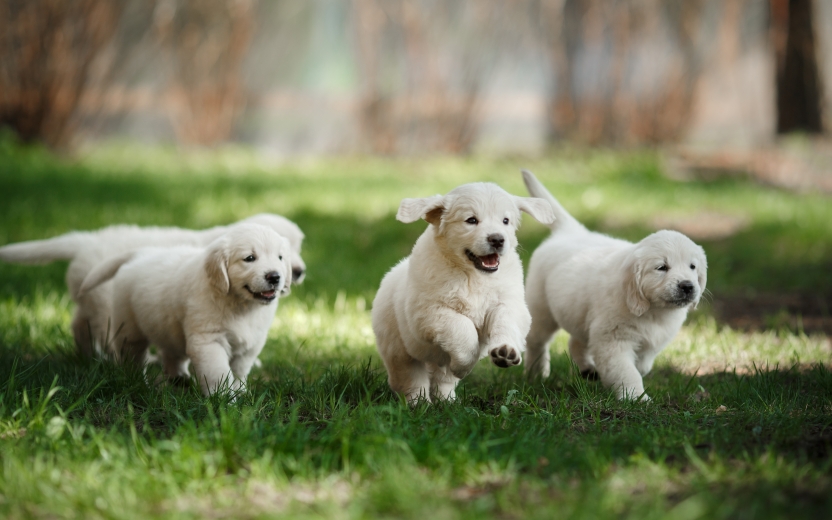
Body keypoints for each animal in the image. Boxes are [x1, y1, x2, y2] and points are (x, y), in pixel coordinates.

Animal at [78, 222, 292, 394]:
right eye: (249, 258)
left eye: (280, 258)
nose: (275, 277)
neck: (240, 305)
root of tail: (141, 253)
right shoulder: (208, 341)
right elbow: (219, 373)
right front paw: (224, 400)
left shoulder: (250, 345)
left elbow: (239, 371)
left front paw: (241, 393)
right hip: (129, 328)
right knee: (132, 356)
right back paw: (137, 381)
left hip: (169, 327)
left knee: (172, 355)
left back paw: (179, 379)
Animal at [374, 181, 556, 404]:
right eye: (471, 220)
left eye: (505, 220)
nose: (497, 239)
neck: (473, 275)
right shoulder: (428, 312)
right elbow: (462, 327)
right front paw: (465, 365)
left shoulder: (508, 302)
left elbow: (506, 322)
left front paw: (506, 351)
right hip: (399, 349)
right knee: (410, 378)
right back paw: (419, 404)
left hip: (436, 362)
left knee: (443, 379)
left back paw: (447, 401)